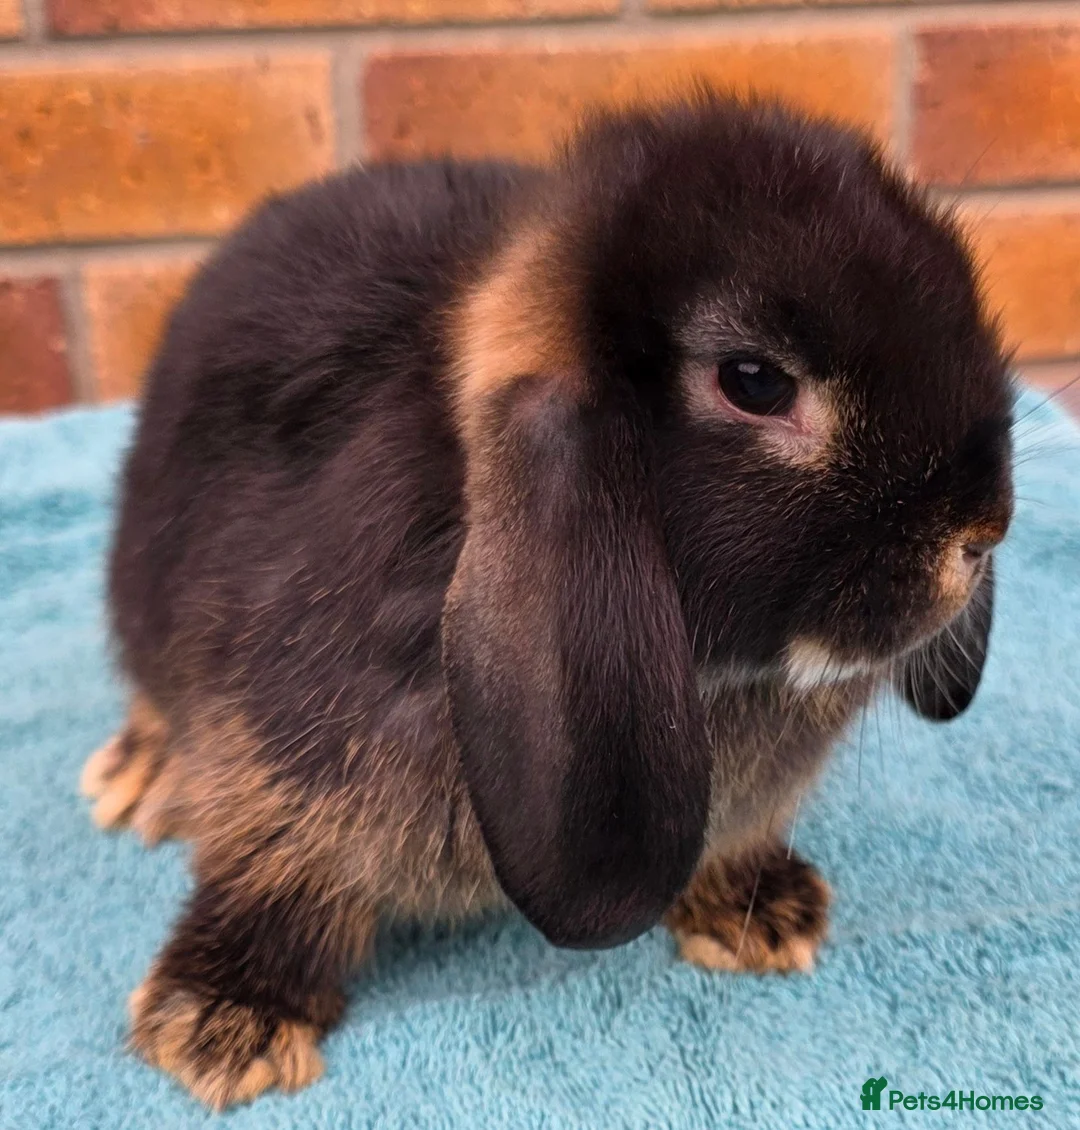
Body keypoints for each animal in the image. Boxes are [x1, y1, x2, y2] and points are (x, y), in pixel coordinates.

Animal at [80, 92, 1014, 1109]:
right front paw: (227, 1021)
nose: (981, 532)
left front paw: (764, 912)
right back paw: (139, 779)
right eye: (756, 381)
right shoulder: (283, 760)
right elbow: (277, 865)